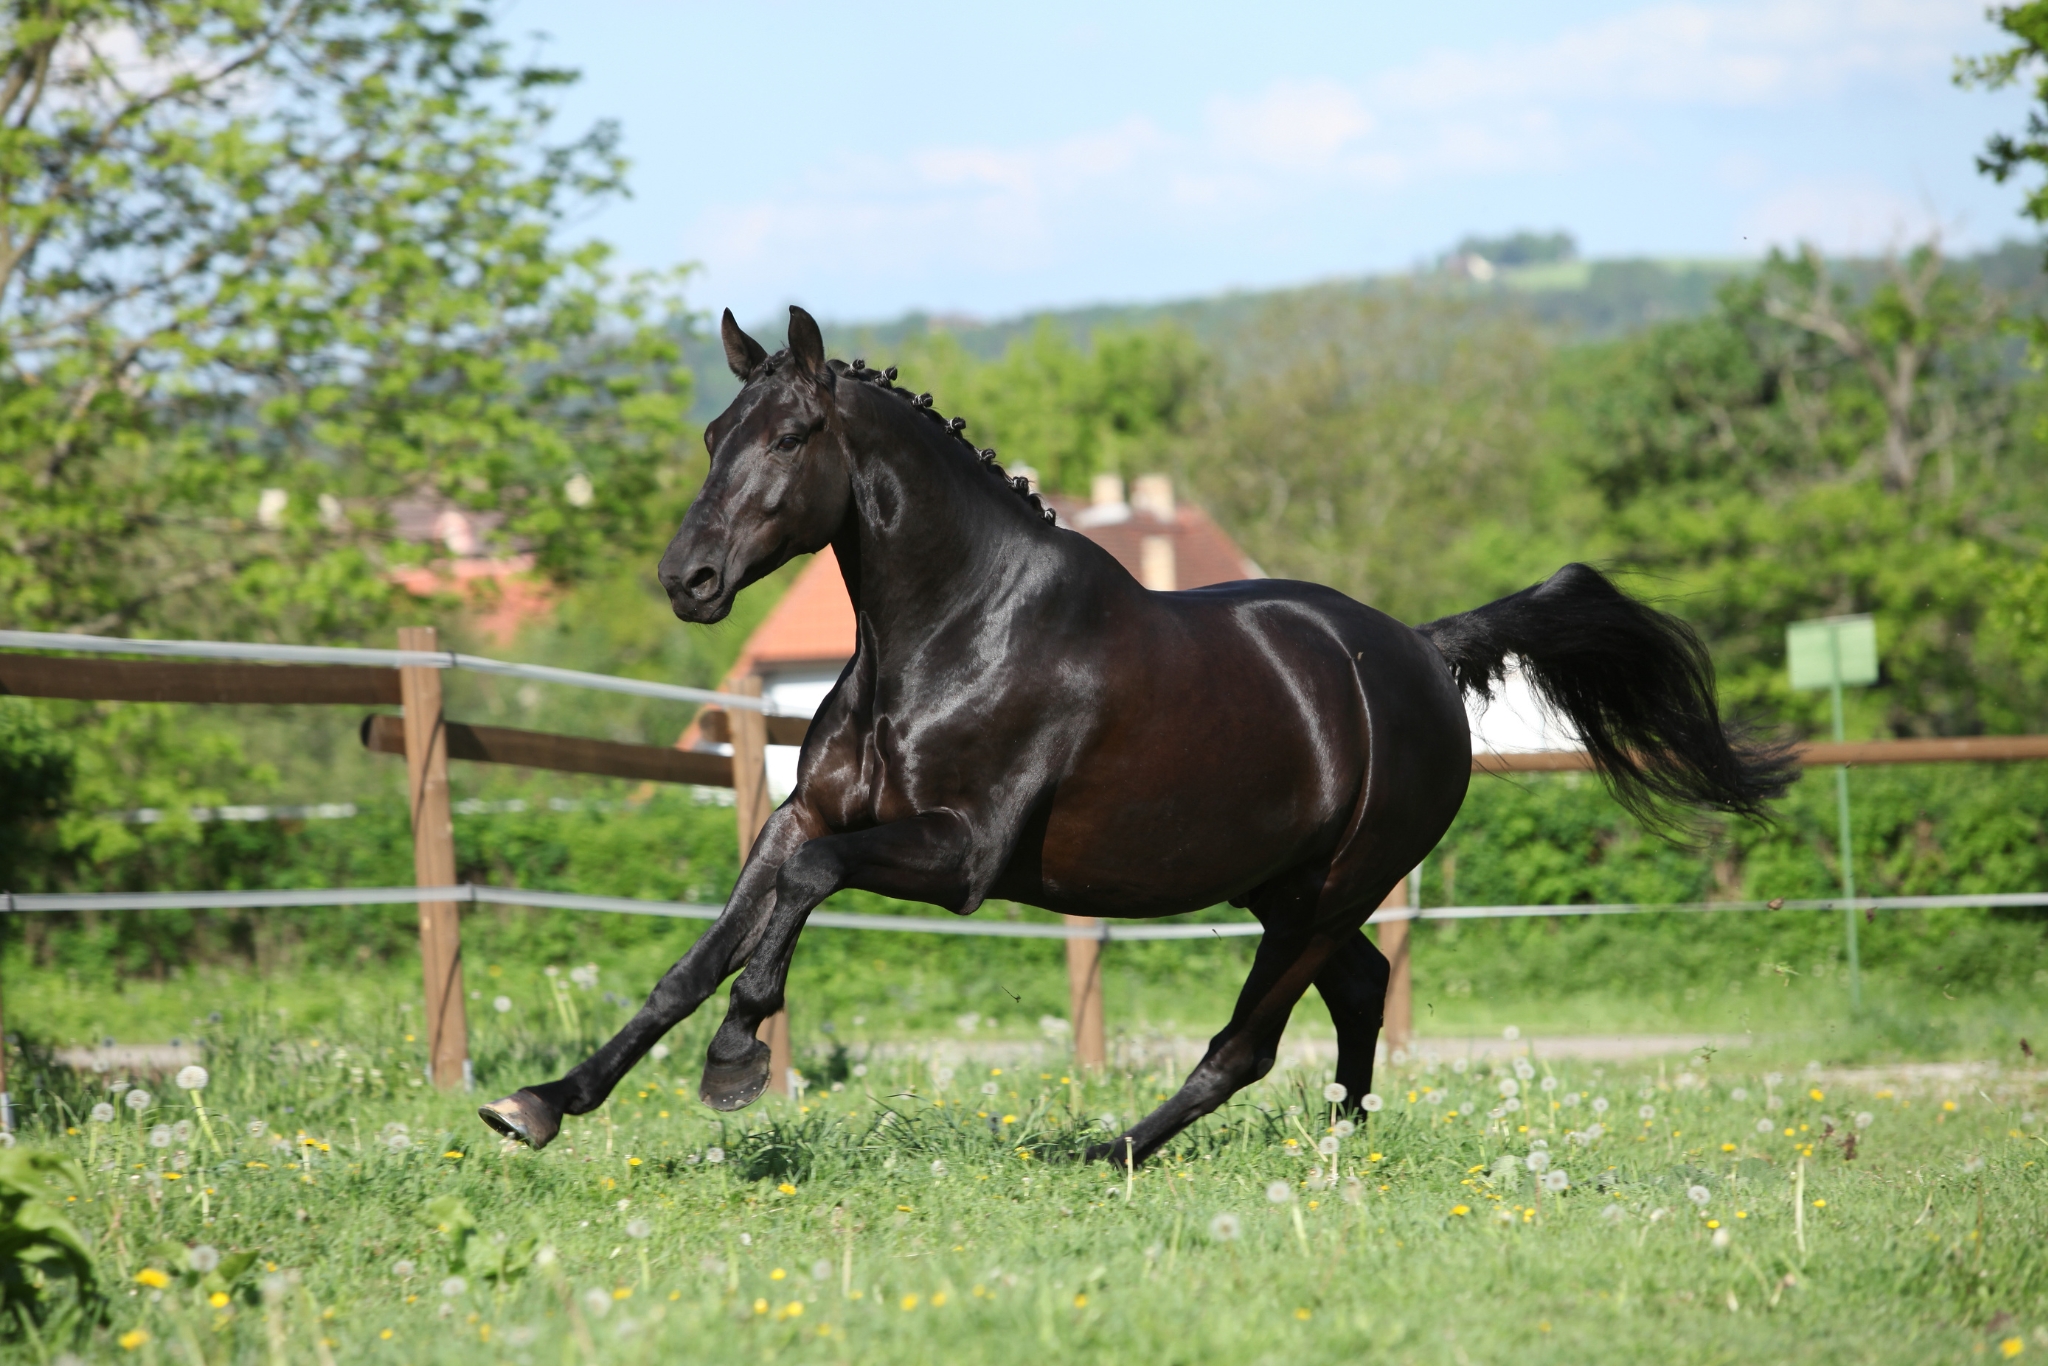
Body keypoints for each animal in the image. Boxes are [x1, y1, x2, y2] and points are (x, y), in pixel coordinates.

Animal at [478, 306, 1793, 1165]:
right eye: (714, 433)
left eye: (794, 436)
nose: (688, 580)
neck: (954, 630)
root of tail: (1423, 653)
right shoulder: (807, 813)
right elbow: (694, 956)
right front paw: (541, 1100)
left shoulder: (958, 857)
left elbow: (794, 902)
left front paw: (737, 1062)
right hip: (1283, 886)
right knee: (1359, 992)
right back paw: (1340, 1145)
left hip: (1328, 891)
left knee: (1247, 1043)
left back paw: (1105, 1151)